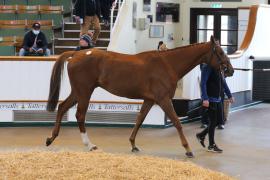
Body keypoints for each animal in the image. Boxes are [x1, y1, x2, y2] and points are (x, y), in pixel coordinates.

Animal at [45, 36, 233, 158]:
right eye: (220, 52)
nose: (230, 70)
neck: (168, 64)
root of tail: (76, 54)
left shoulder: (150, 100)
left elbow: (139, 119)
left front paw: (133, 145)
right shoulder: (163, 100)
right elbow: (177, 122)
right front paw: (187, 149)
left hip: (78, 92)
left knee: (62, 107)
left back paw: (51, 138)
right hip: (84, 92)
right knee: (80, 115)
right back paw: (89, 145)